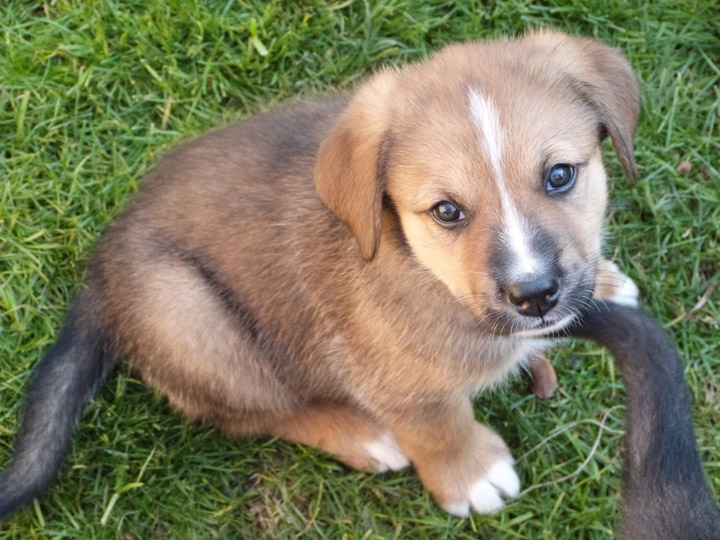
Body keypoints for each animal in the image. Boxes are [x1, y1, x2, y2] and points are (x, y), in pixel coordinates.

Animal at [0, 30, 640, 520]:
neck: (427, 275)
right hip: (186, 315)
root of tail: (101, 269)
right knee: (248, 413)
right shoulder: (399, 384)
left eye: (560, 176)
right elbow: (439, 426)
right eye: (447, 211)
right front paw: (470, 475)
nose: (536, 296)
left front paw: (607, 283)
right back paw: (360, 435)